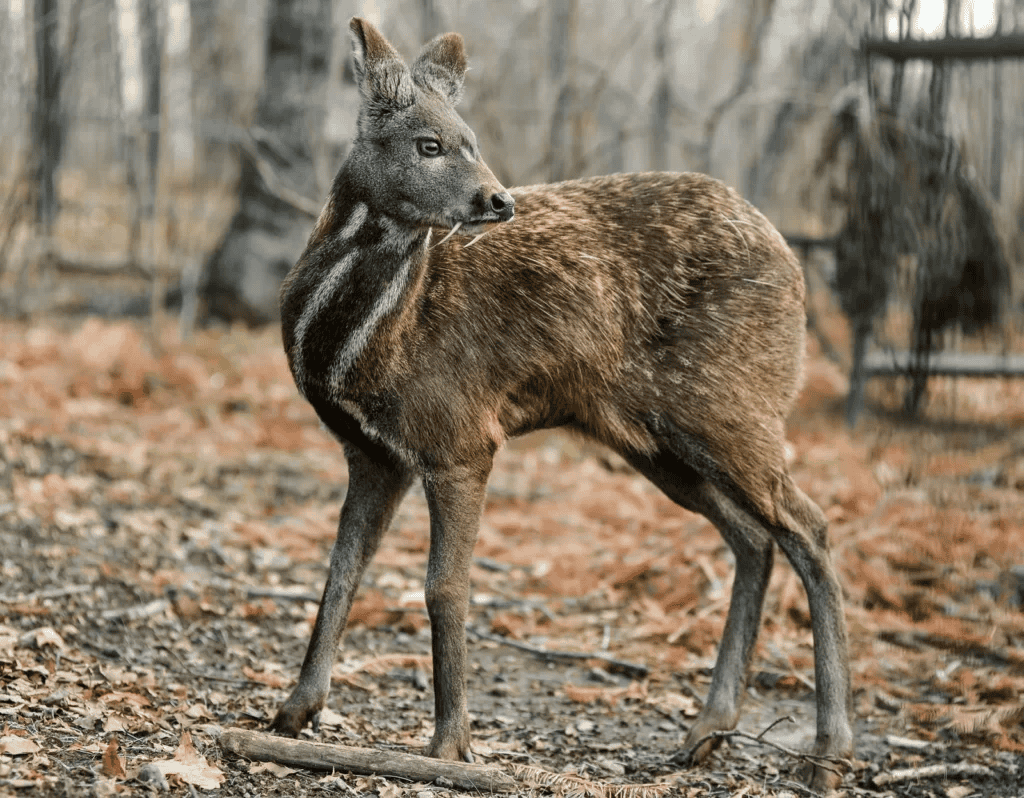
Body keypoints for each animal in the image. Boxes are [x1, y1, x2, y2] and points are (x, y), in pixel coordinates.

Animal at [274, 18, 856, 790]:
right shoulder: (373, 453)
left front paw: (450, 745)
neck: (367, 346)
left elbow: (444, 587)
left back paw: (830, 749)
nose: (497, 201)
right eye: (429, 143)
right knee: (754, 537)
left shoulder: (461, 436)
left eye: (471, 139)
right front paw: (295, 711)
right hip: (654, 438)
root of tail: (794, 264)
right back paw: (707, 731)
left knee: (809, 527)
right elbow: (341, 573)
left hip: (734, 406)